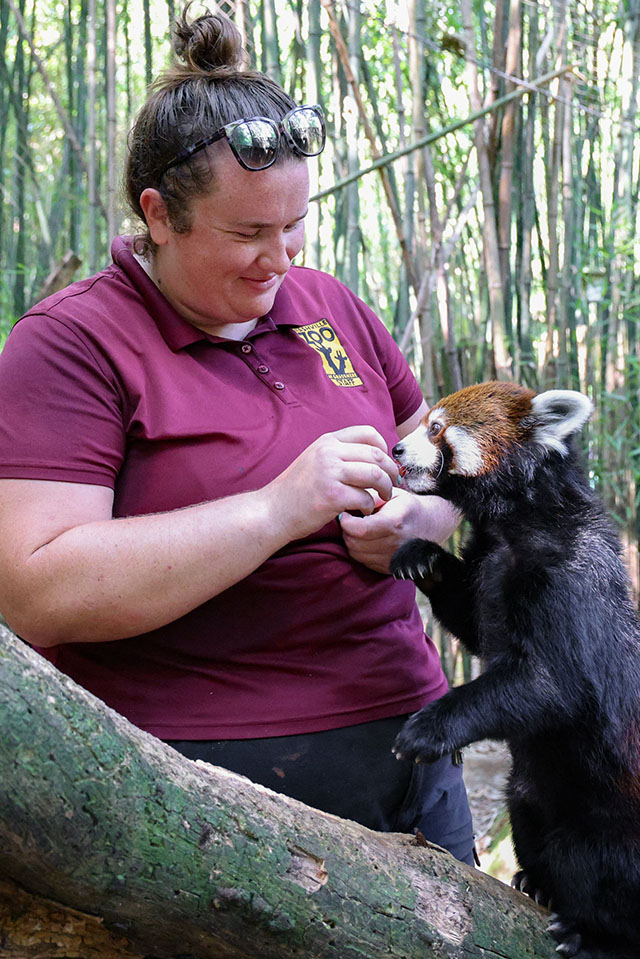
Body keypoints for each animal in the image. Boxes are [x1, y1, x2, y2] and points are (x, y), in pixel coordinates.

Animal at [390, 380, 640, 959]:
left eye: (436, 427)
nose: (395, 449)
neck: (514, 522)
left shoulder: (567, 577)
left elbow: (551, 687)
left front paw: (427, 729)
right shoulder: (486, 567)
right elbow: (469, 619)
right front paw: (422, 558)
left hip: (609, 820)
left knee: (597, 867)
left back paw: (595, 935)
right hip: (526, 793)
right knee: (527, 815)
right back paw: (537, 881)